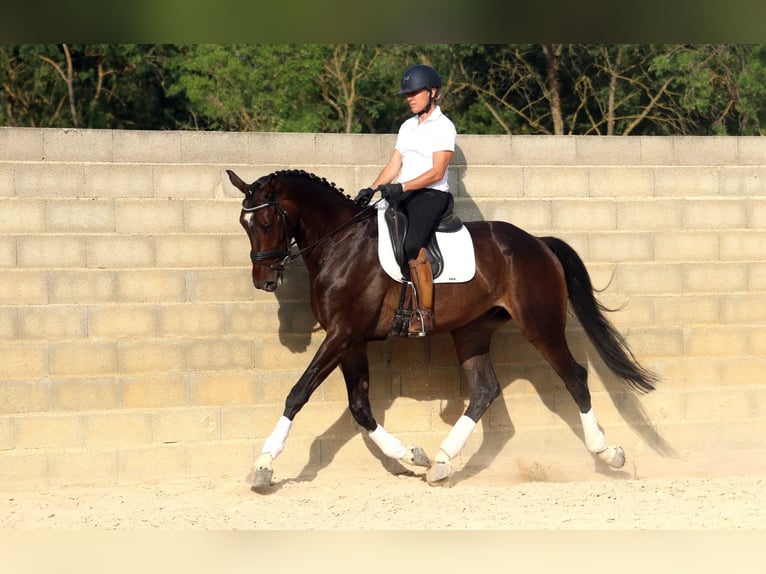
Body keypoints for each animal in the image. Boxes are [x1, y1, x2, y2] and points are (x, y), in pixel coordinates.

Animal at [226, 168, 658, 490]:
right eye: (245, 224)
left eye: (266, 220)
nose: (264, 280)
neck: (340, 243)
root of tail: (538, 243)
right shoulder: (350, 340)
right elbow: (361, 408)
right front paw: (411, 455)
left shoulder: (342, 335)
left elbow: (298, 393)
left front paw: (263, 466)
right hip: (471, 331)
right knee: (484, 390)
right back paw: (442, 462)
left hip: (541, 326)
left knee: (575, 378)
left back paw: (608, 454)